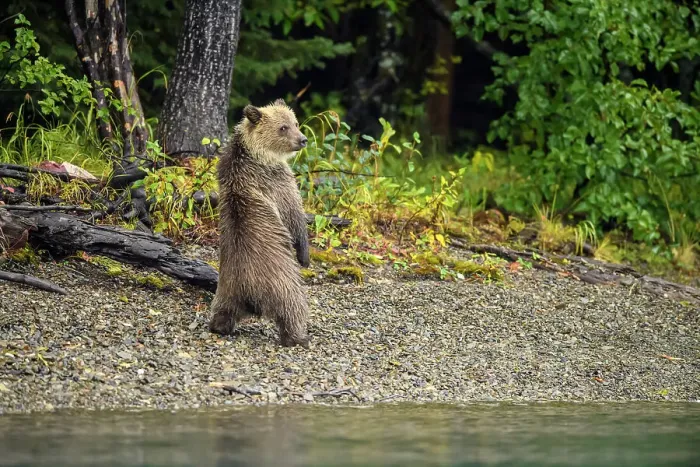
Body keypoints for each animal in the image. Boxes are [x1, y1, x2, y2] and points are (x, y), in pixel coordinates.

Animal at [208, 98, 311, 347]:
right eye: (283, 127)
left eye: (295, 122)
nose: (303, 140)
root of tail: (248, 291)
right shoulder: (278, 183)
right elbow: (294, 215)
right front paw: (304, 255)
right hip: (282, 282)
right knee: (293, 306)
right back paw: (299, 336)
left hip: (225, 286)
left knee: (222, 310)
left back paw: (219, 326)